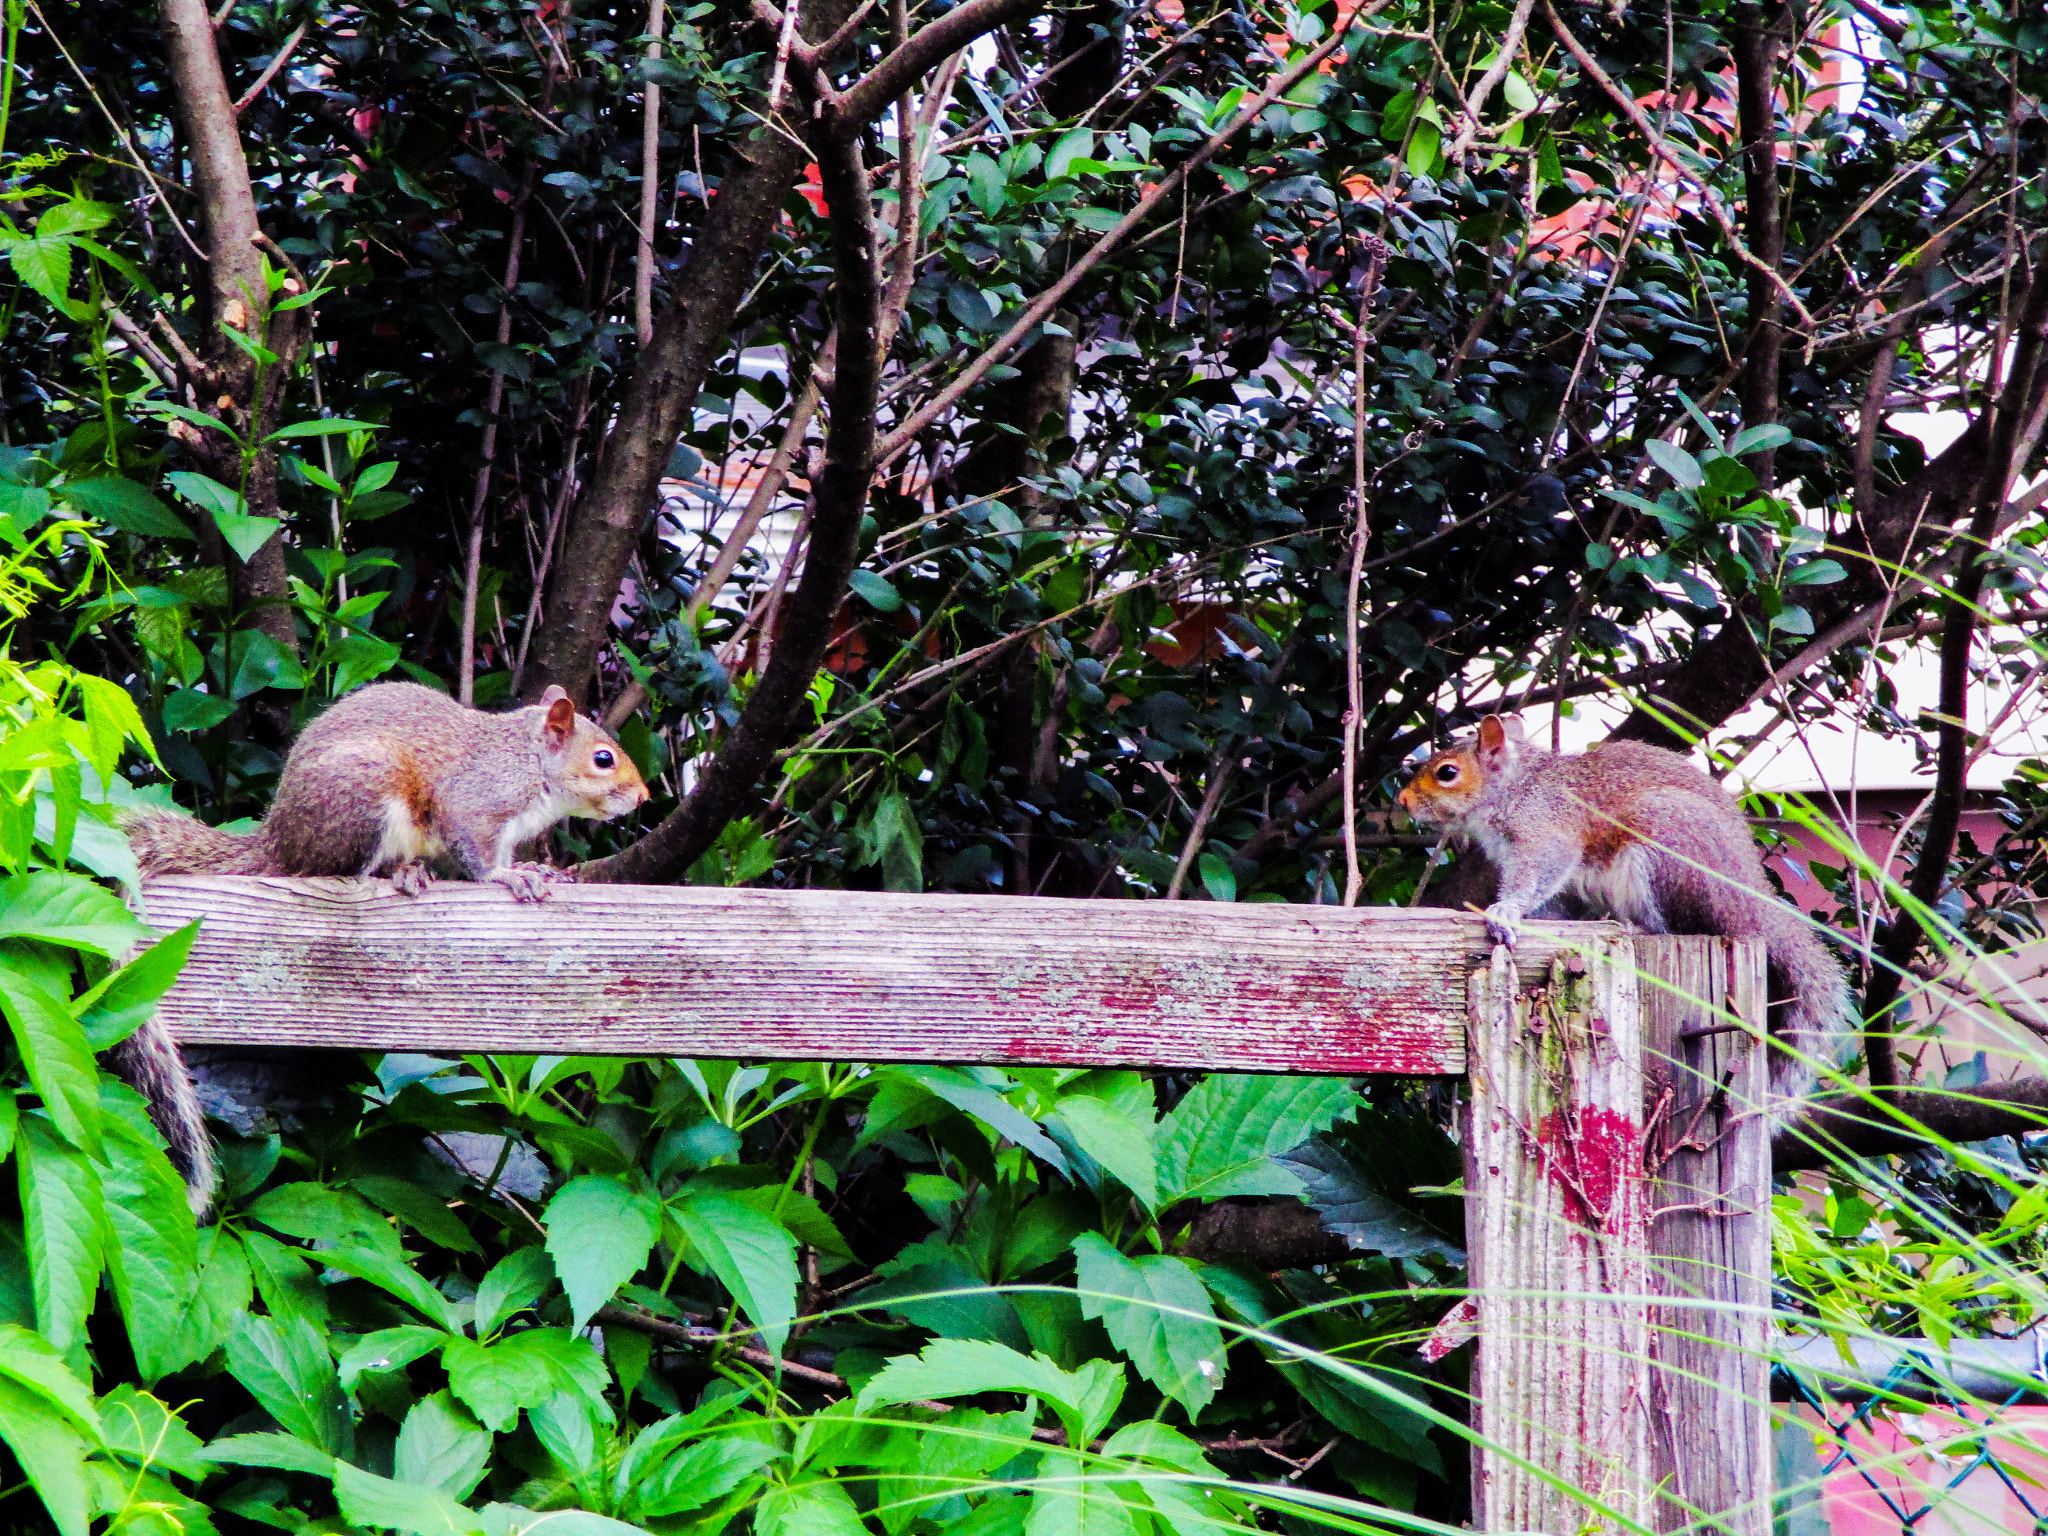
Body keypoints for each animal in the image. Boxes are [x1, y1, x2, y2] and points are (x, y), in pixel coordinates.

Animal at [118, 682, 650, 1209]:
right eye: (603, 759)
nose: (643, 796)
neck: (529, 760)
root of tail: (277, 840)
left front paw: (536, 869)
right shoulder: (475, 800)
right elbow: (477, 854)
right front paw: (508, 876)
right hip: (365, 798)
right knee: (336, 871)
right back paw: (400, 872)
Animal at [1397, 714, 1848, 1105]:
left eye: (1447, 773)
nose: (1402, 800)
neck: (1517, 786)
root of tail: (1751, 901)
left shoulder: (1548, 831)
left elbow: (1537, 874)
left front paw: (1505, 911)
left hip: (1665, 844)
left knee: (1675, 927)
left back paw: (1635, 928)